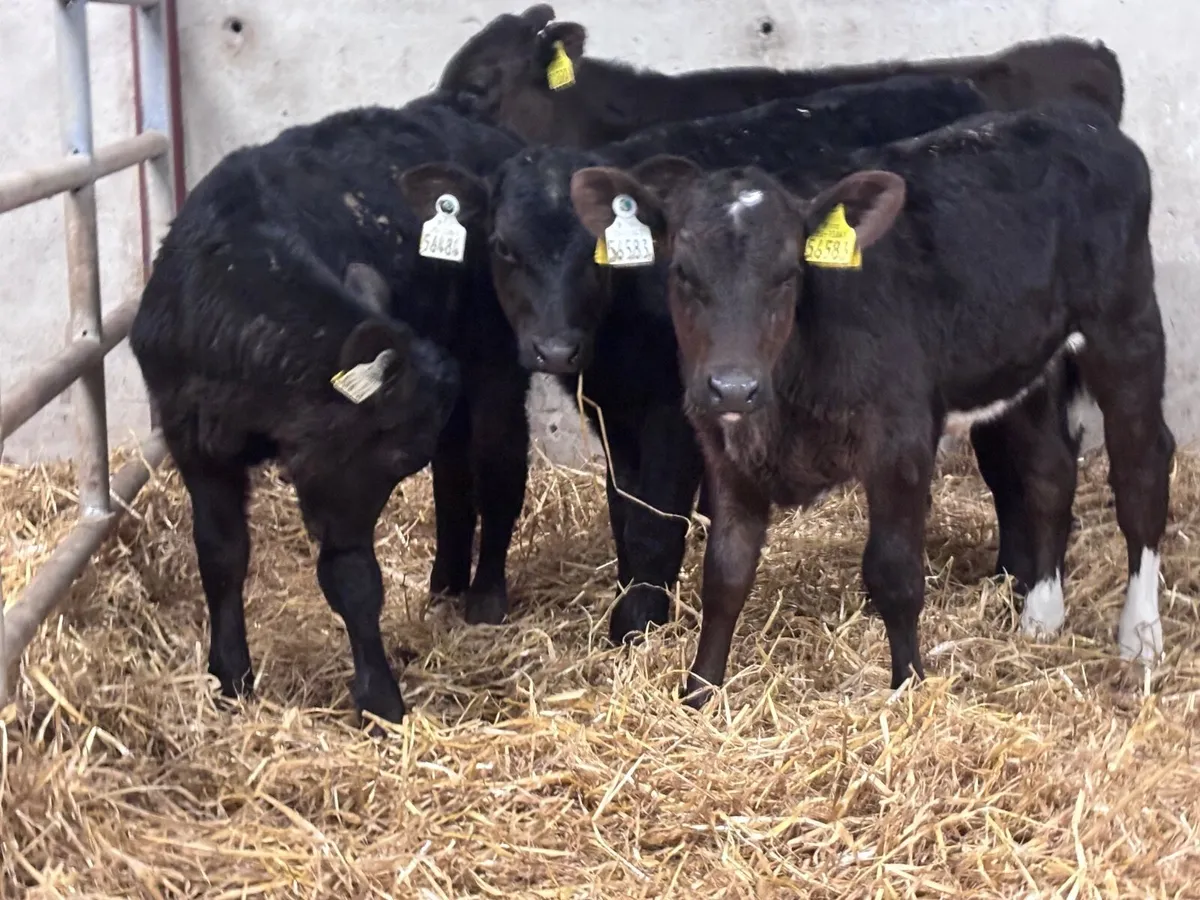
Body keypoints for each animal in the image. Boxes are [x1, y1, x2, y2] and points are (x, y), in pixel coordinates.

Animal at [129, 95, 530, 724]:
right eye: (395, 455)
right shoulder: (194, 444)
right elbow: (220, 554)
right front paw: (230, 675)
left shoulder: (337, 482)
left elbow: (351, 577)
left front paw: (380, 699)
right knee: (456, 474)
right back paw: (445, 586)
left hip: (498, 362)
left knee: (500, 465)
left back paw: (485, 594)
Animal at [410, 74, 992, 645]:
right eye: (503, 246)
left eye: (594, 252)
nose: (554, 348)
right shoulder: (614, 413)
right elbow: (626, 512)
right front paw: (632, 608)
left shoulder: (675, 411)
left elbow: (658, 520)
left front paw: (639, 624)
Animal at [568, 98, 1174, 705]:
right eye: (681, 273)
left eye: (788, 274)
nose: (733, 386)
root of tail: (1074, 116)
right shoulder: (725, 447)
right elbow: (725, 575)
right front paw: (698, 694)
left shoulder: (901, 441)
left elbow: (894, 573)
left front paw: (908, 688)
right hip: (1032, 358)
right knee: (1049, 469)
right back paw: (1041, 620)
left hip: (1125, 327)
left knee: (1141, 470)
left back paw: (1140, 637)